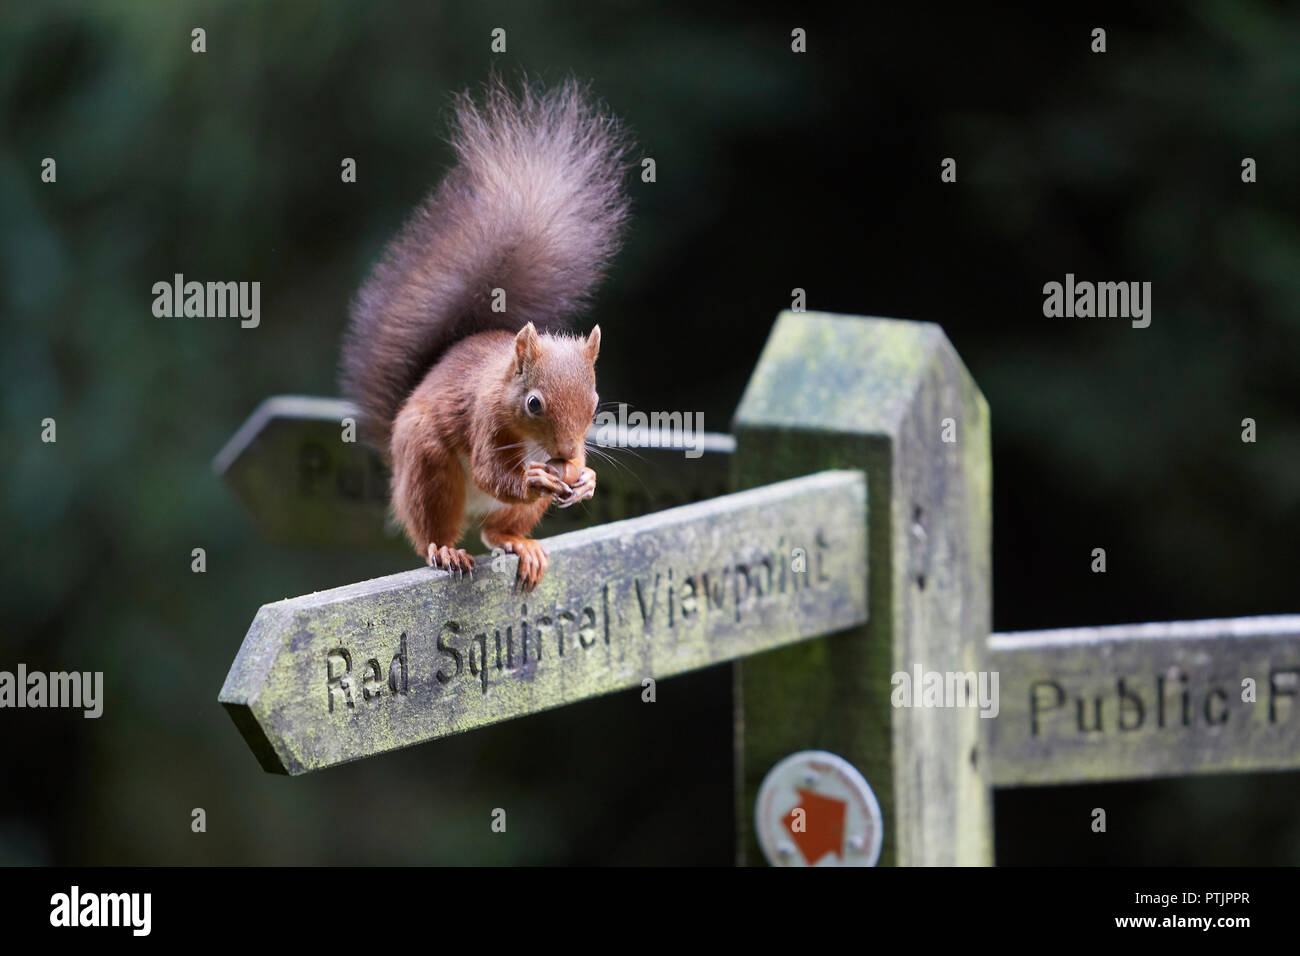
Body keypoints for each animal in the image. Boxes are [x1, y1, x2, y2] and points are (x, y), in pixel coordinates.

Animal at [340, 80, 629, 590]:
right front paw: (537, 478)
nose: (565, 455)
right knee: (434, 528)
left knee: (497, 531)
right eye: (533, 403)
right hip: (428, 467)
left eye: (595, 403)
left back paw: (520, 545)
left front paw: (586, 479)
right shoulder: (484, 418)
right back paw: (446, 550)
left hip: (508, 513)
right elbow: (491, 471)